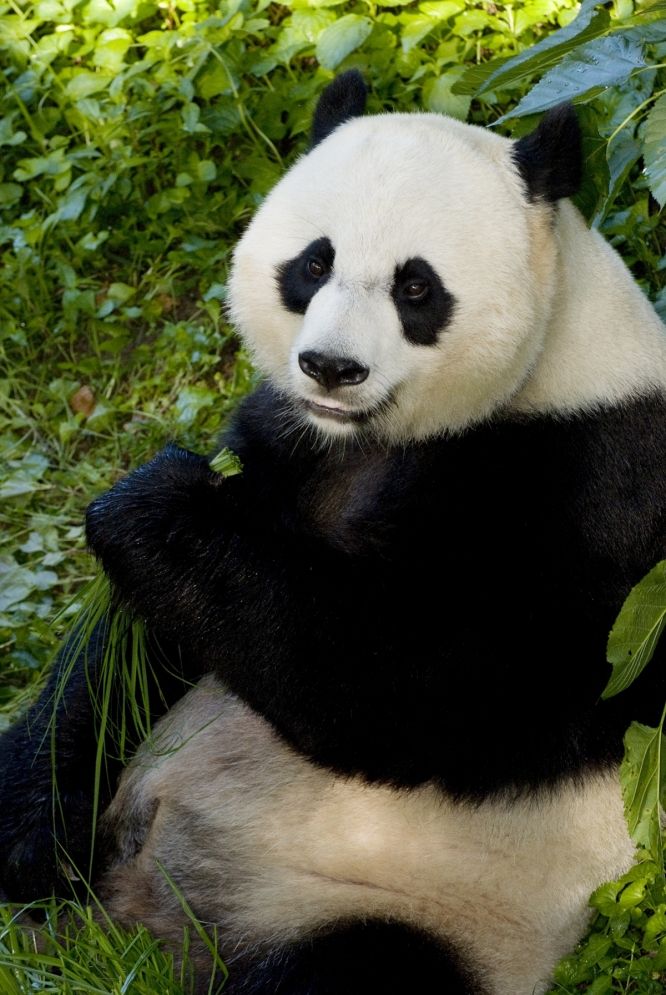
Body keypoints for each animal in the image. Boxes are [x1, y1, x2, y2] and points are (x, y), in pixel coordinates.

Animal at [0, 72, 660, 995]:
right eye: (315, 263)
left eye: (417, 288)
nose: (331, 369)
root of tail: (140, 932)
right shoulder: (289, 445)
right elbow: (129, 655)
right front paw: (29, 841)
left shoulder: (591, 490)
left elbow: (408, 686)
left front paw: (151, 502)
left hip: (434, 910)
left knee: (355, 968)